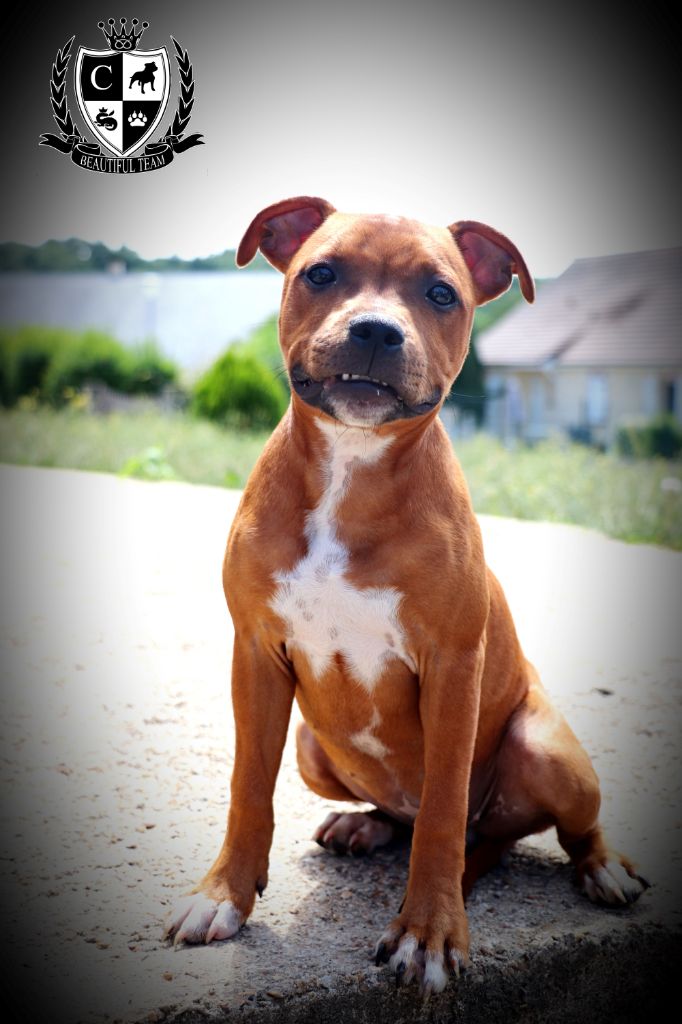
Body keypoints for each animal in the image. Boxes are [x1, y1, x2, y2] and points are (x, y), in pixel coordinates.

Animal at [165, 197, 648, 993]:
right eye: (320, 273)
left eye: (441, 293)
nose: (374, 329)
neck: (350, 467)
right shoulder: (256, 655)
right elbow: (248, 788)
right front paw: (223, 896)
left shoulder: (452, 667)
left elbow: (444, 814)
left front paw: (429, 932)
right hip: (313, 747)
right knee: (402, 814)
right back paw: (364, 823)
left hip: (548, 752)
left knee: (556, 826)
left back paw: (604, 867)